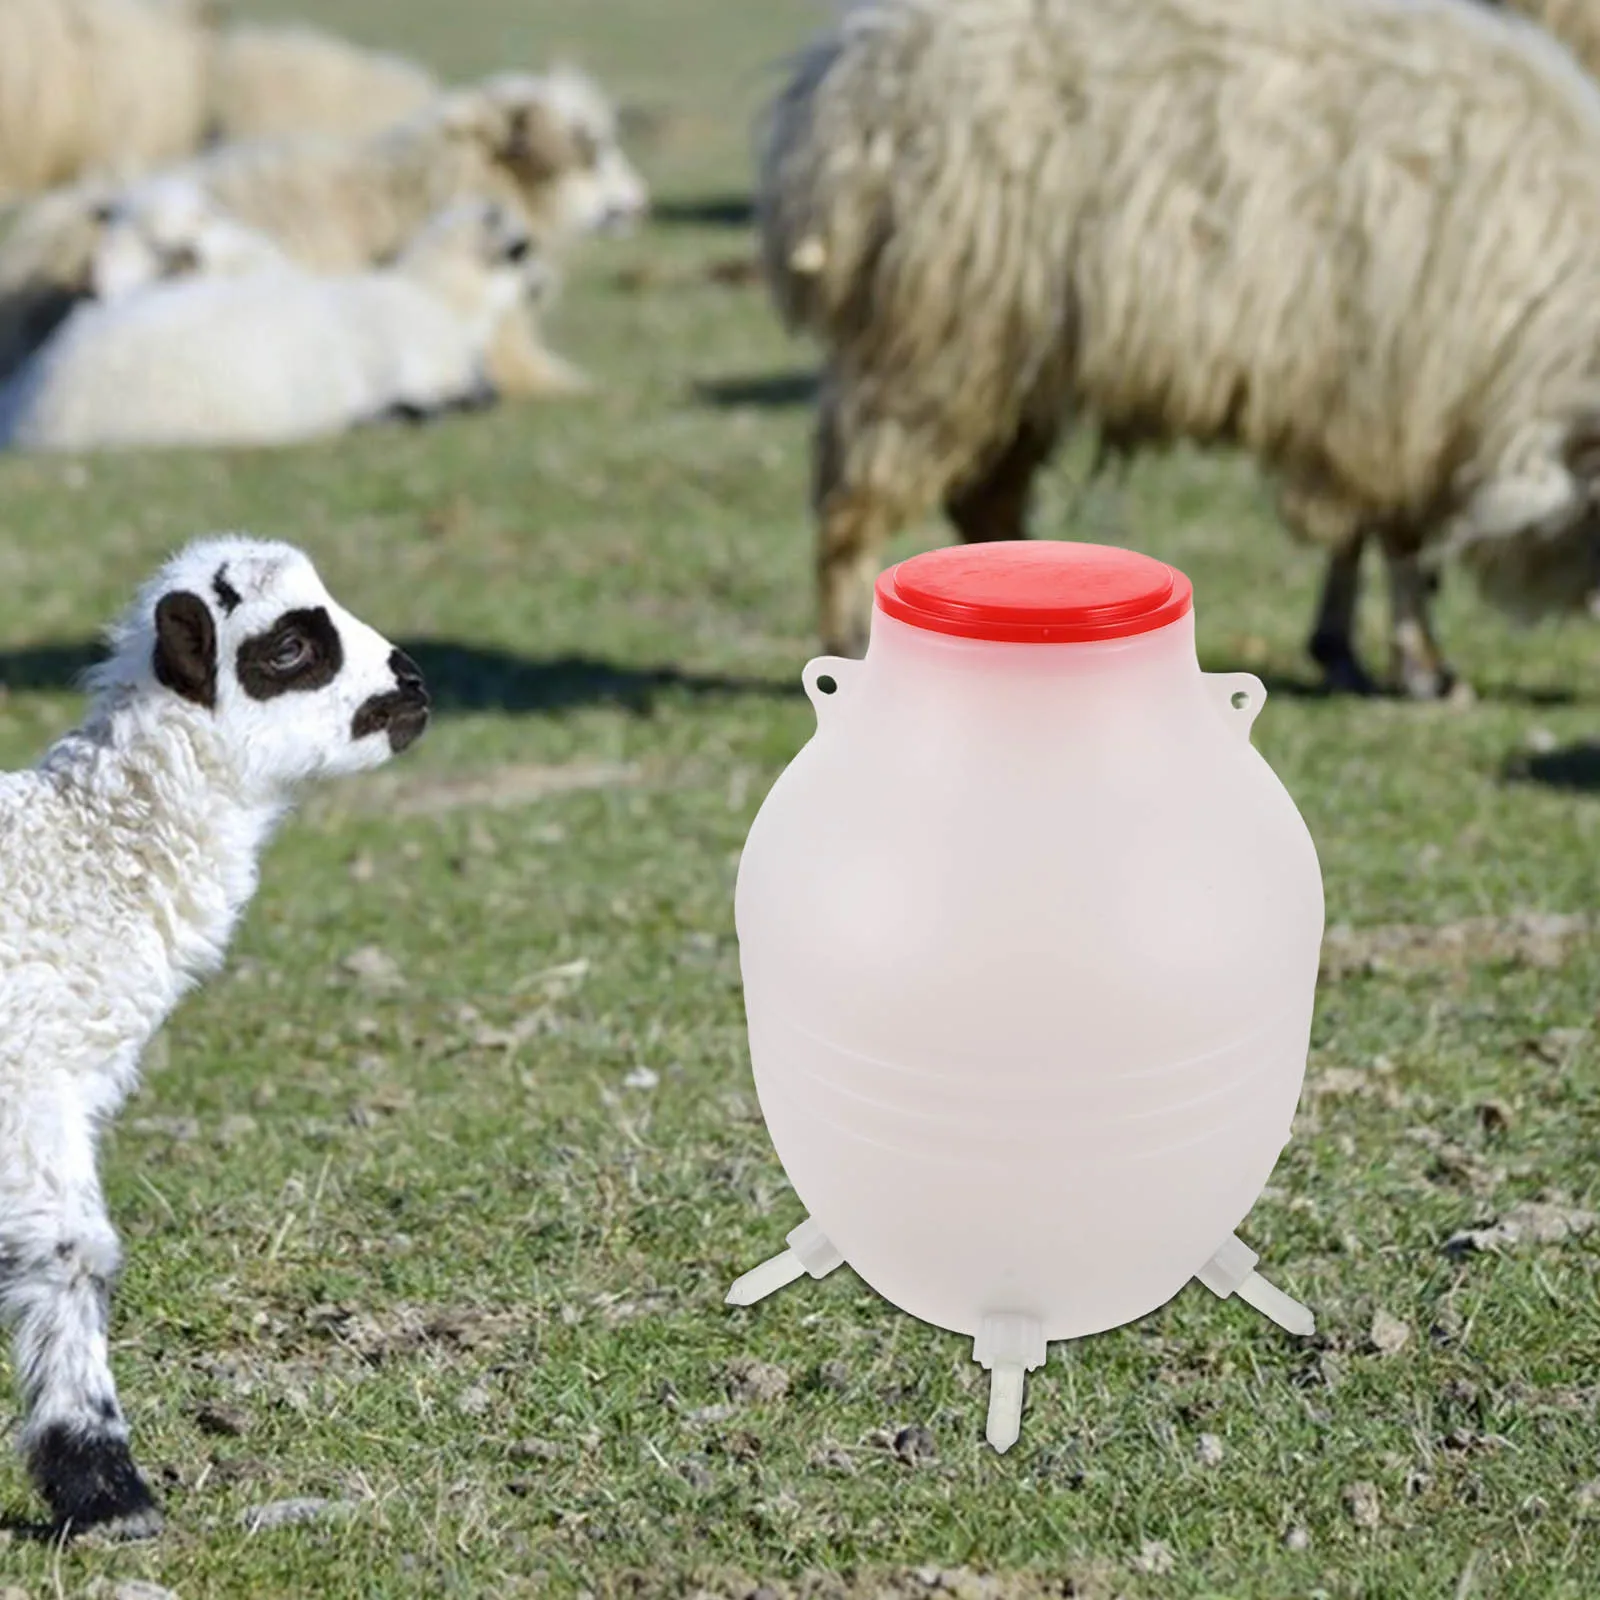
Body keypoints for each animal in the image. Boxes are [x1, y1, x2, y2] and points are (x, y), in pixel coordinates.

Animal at [0, 534, 428, 1535]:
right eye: (288, 649)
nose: (414, 684)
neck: (72, 860)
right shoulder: (30, 1074)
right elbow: (73, 1251)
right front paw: (106, 1492)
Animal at [758, 0, 1600, 698]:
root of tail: (849, 64)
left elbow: (1369, 538)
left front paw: (1356, 652)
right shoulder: (1398, 393)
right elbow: (1400, 540)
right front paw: (1422, 667)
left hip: (1014, 358)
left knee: (983, 502)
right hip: (934, 338)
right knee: (854, 502)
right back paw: (858, 638)